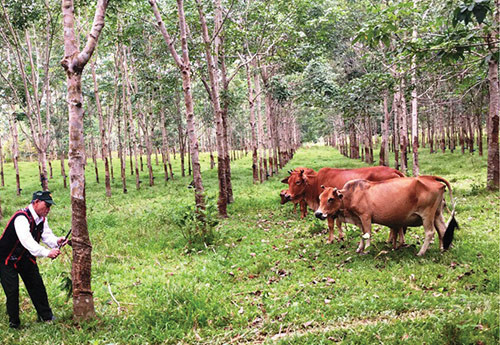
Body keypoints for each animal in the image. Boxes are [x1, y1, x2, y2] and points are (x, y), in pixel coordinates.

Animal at [314, 176, 458, 254]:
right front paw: (359, 248)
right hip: (437, 214)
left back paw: (421, 252)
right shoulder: (359, 219)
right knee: (443, 230)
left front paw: (367, 249)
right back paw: (444, 248)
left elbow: (367, 234)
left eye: (330, 199)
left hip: (427, 215)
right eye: (320, 198)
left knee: (430, 233)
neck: (351, 195)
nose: (318, 213)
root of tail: (431, 178)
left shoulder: (365, 217)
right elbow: (363, 234)